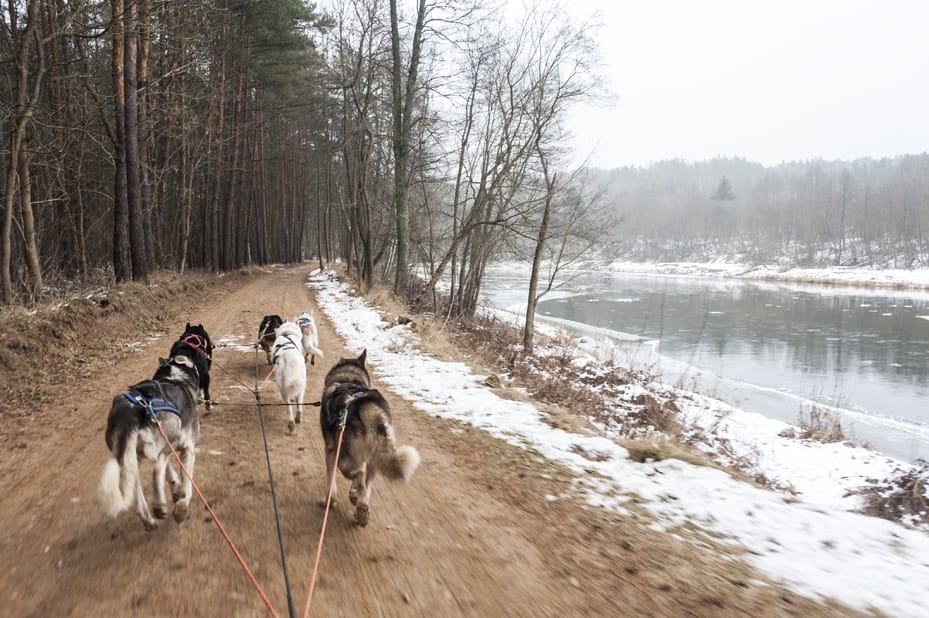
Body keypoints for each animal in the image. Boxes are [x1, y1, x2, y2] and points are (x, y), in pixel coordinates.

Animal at [98, 354, 199, 528]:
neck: (174, 377)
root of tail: (128, 414)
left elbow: (170, 474)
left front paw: (175, 488)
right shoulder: (188, 448)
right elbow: (186, 483)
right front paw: (182, 504)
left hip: (131, 458)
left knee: (135, 484)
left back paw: (147, 519)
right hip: (172, 437)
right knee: (156, 469)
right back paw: (158, 506)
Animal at [320, 348, 420, 524]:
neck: (348, 379)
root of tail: (366, 406)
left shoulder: (330, 451)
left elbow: (331, 479)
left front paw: (330, 500)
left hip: (347, 455)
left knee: (357, 472)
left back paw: (357, 498)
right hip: (376, 455)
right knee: (366, 484)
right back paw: (362, 508)